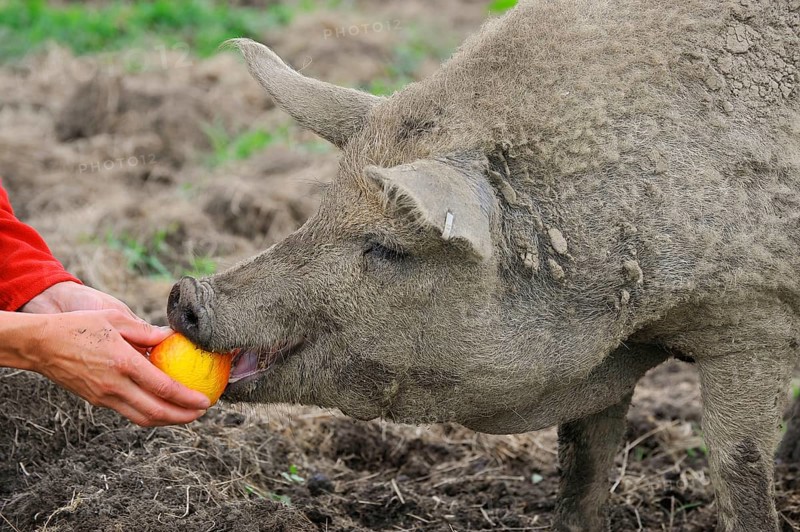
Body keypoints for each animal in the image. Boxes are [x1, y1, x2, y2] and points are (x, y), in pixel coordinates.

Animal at [167, 0, 800, 530]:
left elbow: (737, 464)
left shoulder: (754, 321)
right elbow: (584, 457)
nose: (185, 294)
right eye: (322, 210)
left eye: (387, 247)